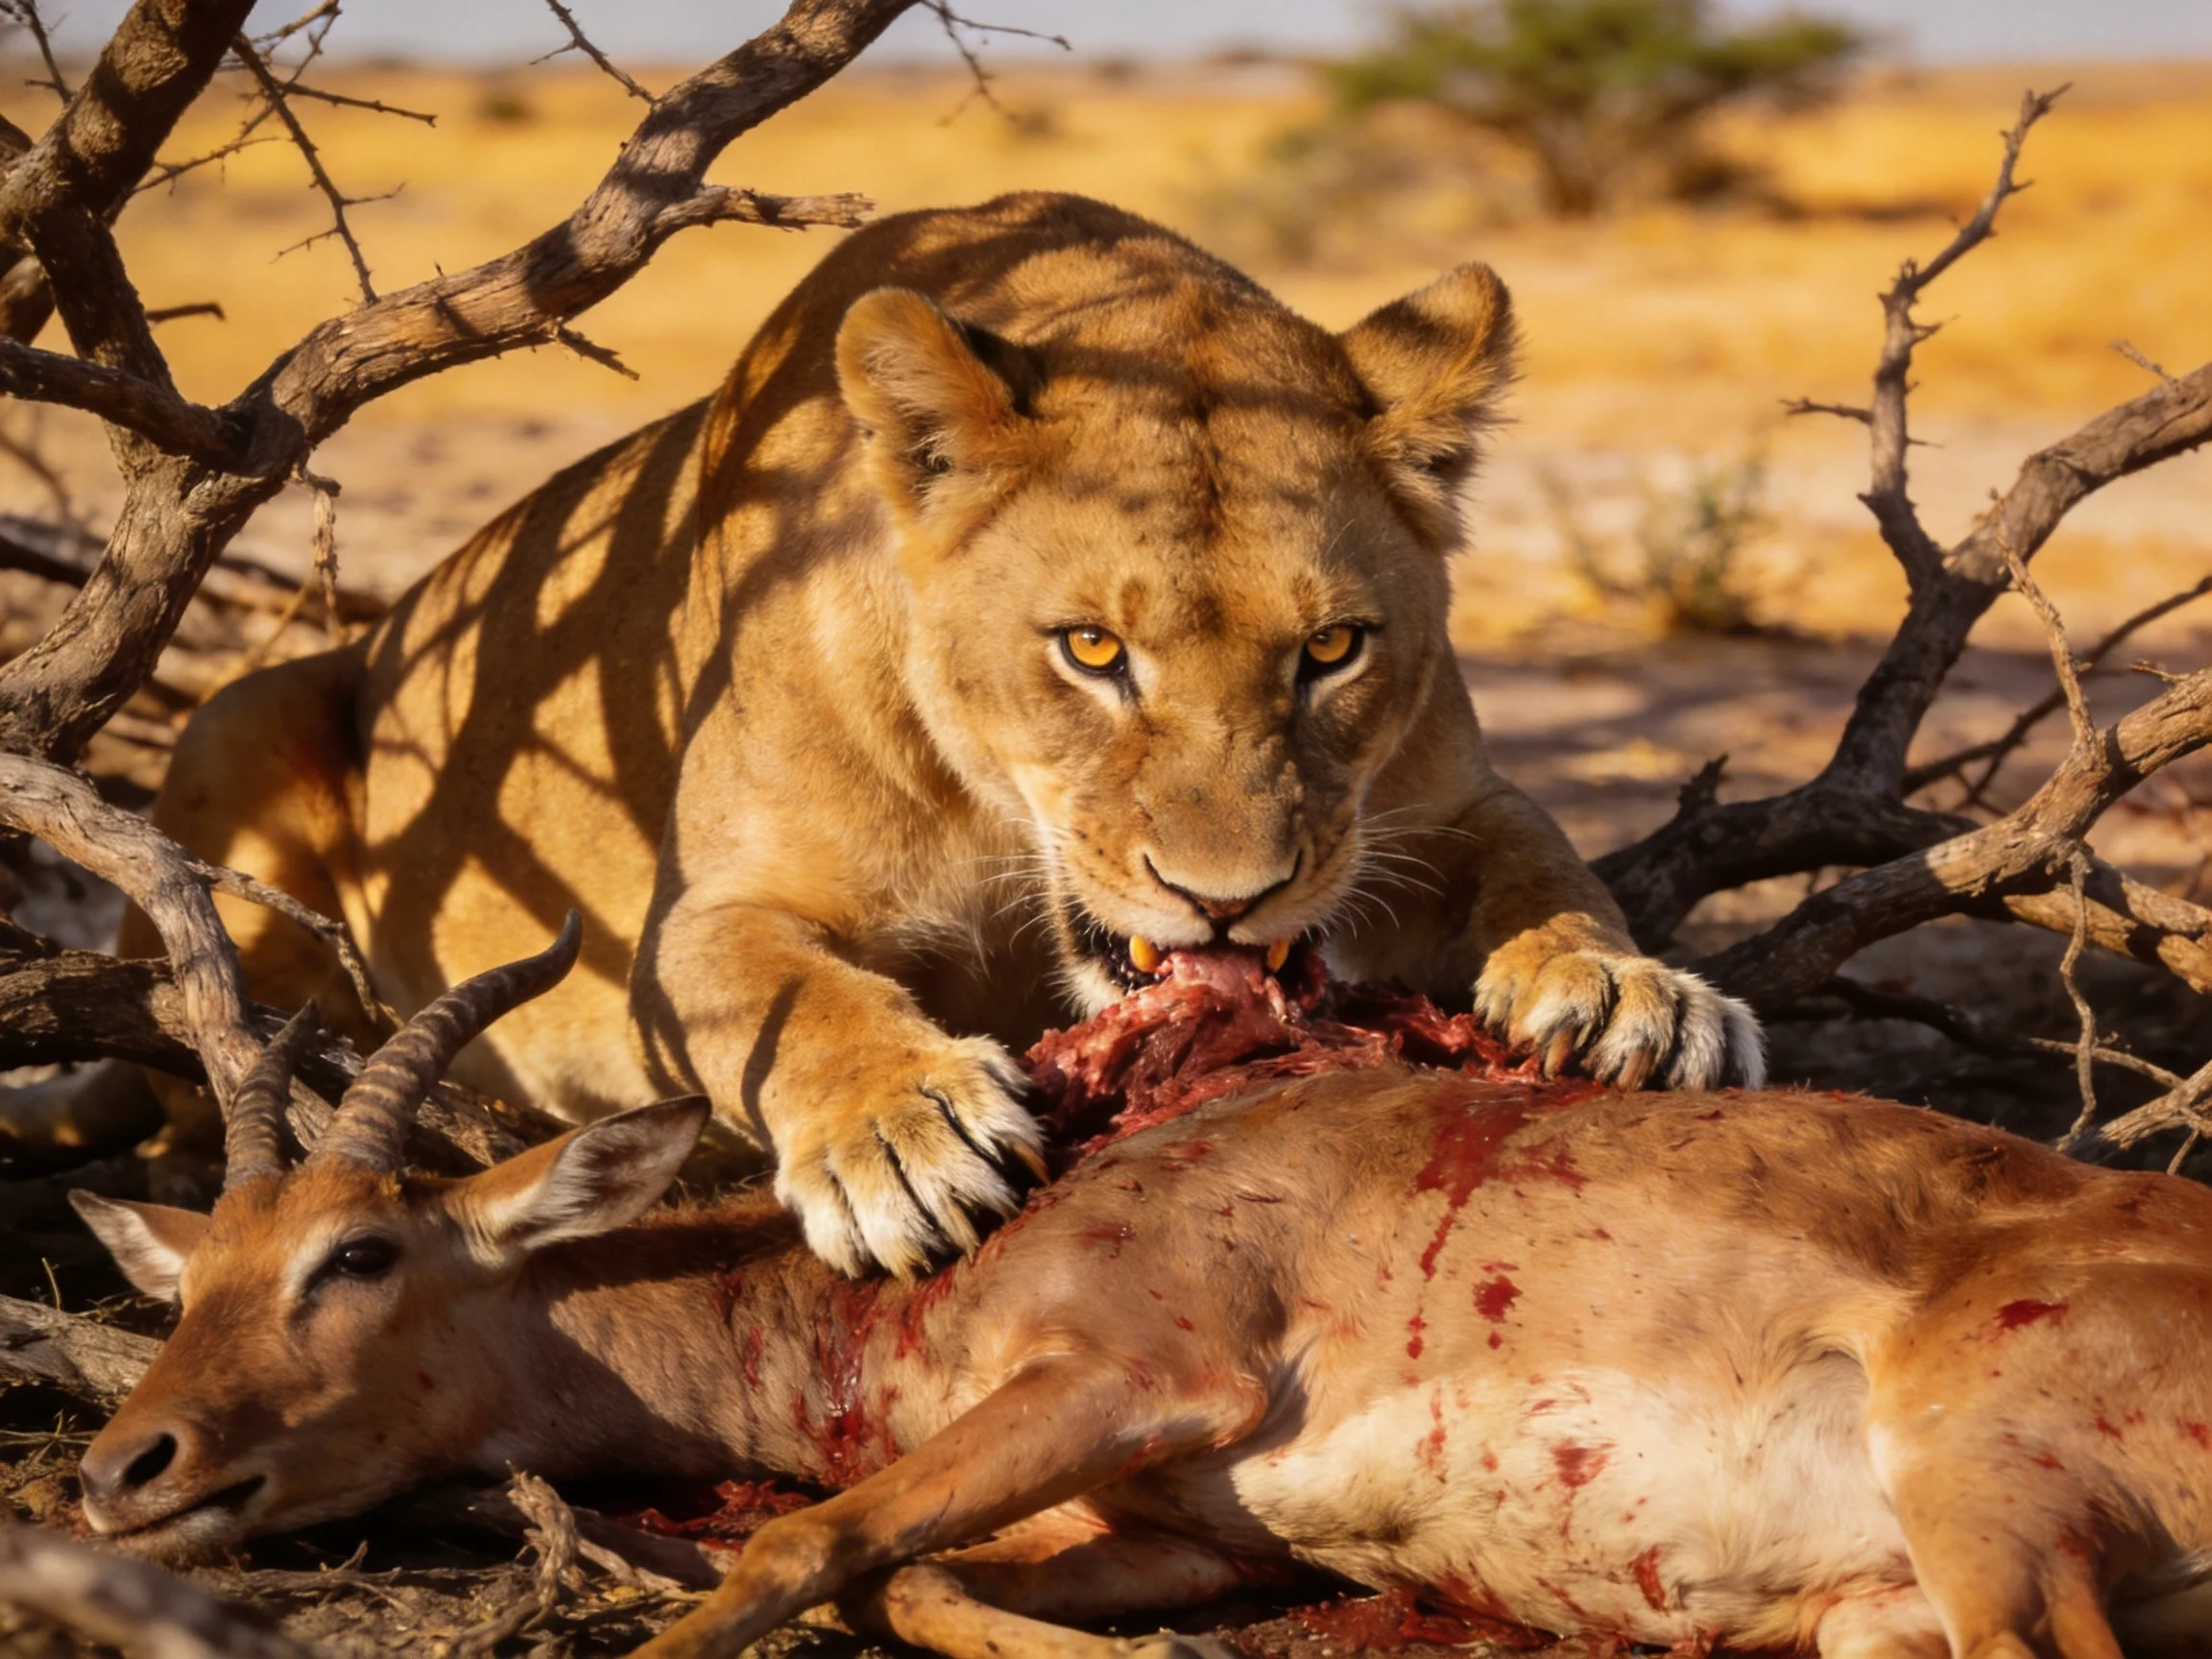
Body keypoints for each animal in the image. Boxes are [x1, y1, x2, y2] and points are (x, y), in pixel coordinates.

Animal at [72, 923, 2212, 1659]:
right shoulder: (1173, 1522)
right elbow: (908, 1573)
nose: (121, 1468)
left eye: (359, 1252)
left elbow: (804, 1543)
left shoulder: (1147, 1372)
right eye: (202, 1271)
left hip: (1979, 1501)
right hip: (1885, 1607)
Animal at [129, 193, 1762, 1275]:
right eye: (1091, 650)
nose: (1228, 898)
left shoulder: (1436, 804)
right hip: (242, 716)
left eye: (1331, 650)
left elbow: (1548, 863)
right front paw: (900, 1138)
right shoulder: (703, 913)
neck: (999, 818)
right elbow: (786, 993)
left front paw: (1629, 990)